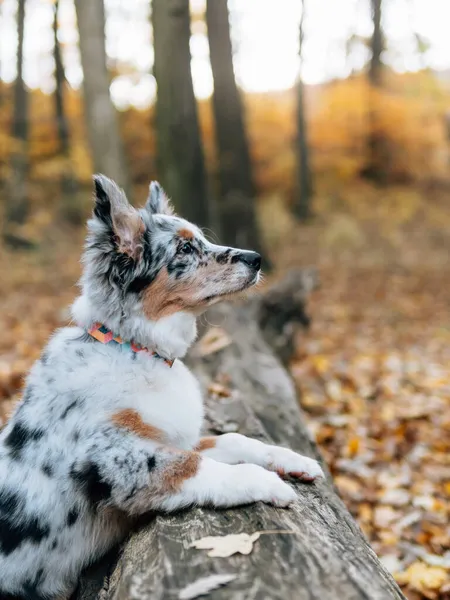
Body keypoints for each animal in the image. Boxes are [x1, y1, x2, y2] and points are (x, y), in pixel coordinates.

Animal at [0, 176, 324, 600]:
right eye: (184, 248)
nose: (256, 259)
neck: (137, 349)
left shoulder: (174, 436)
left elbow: (235, 438)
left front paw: (294, 460)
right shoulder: (122, 459)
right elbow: (197, 465)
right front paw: (269, 483)